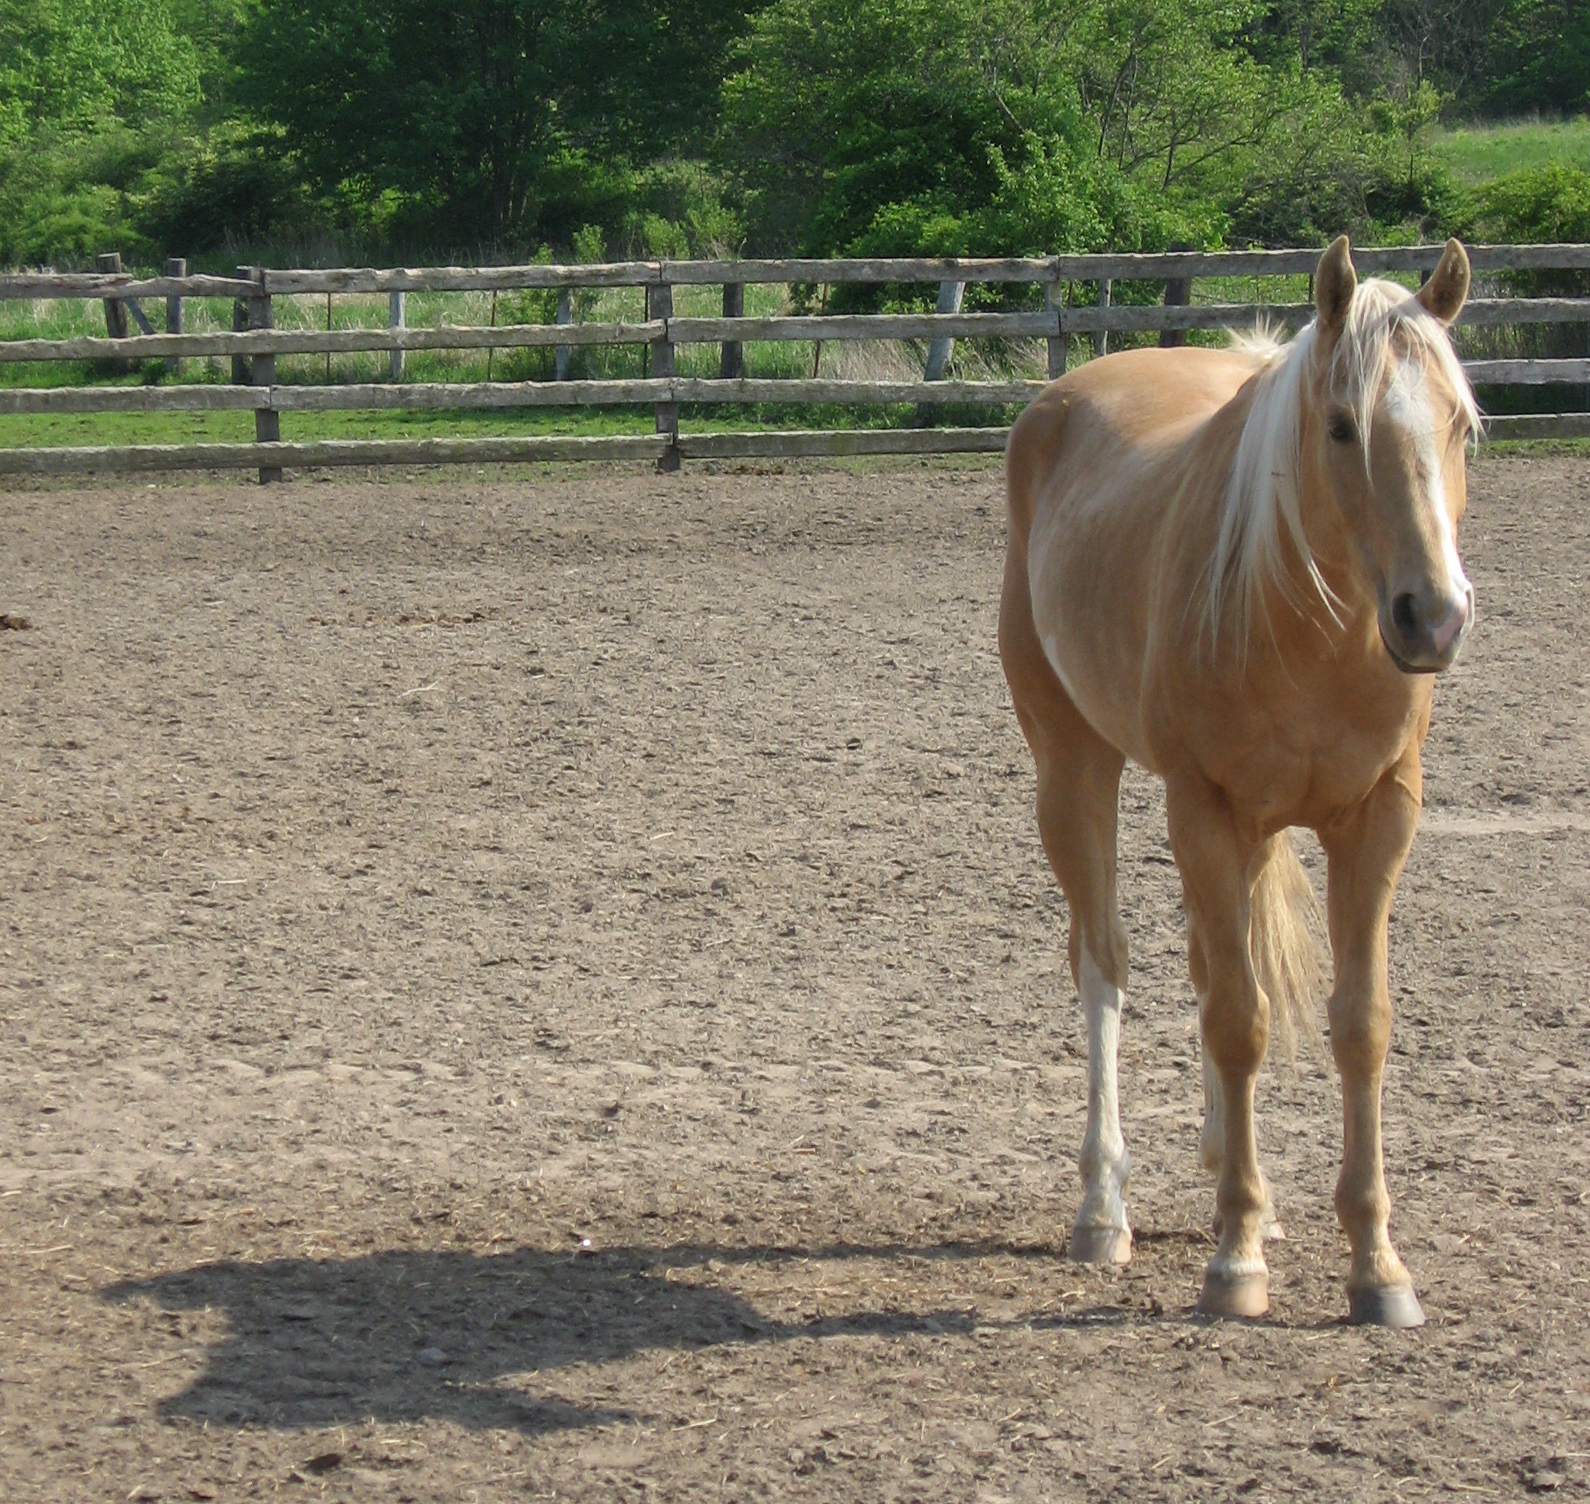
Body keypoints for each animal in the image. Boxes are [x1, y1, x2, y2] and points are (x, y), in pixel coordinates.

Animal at [1004, 236, 1475, 1322]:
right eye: (1341, 425)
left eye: (1462, 423)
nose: (1432, 617)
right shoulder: (1205, 810)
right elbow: (1239, 1019)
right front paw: (1236, 1260)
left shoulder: (1376, 821)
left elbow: (1357, 1023)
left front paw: (1375, 1264)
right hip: (1074, 769)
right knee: (1105, 961)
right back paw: (1105, 1211)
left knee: (1207, 964)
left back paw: (1231, 1170)